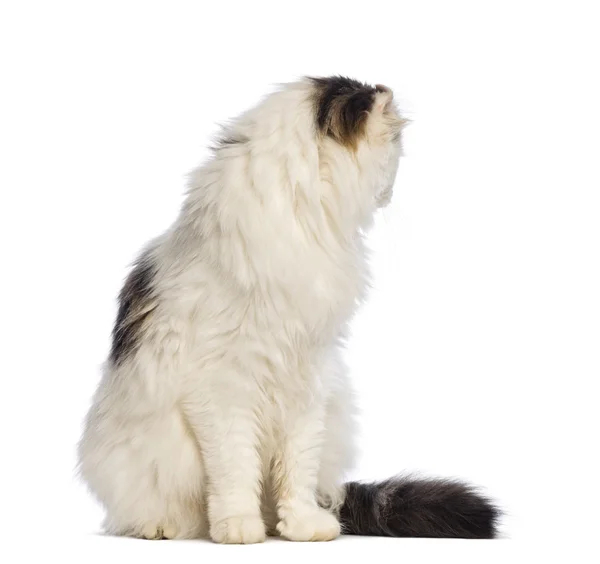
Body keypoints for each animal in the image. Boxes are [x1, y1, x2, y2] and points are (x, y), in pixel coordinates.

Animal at [77, 75, 500, 540]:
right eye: (396, 156)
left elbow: (297, 471)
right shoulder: (223, 388)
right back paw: (166, 526)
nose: (390, 194)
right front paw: (238, 527)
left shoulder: (308, 377)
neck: (303, 219)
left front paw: (303, 526)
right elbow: (235, 468)